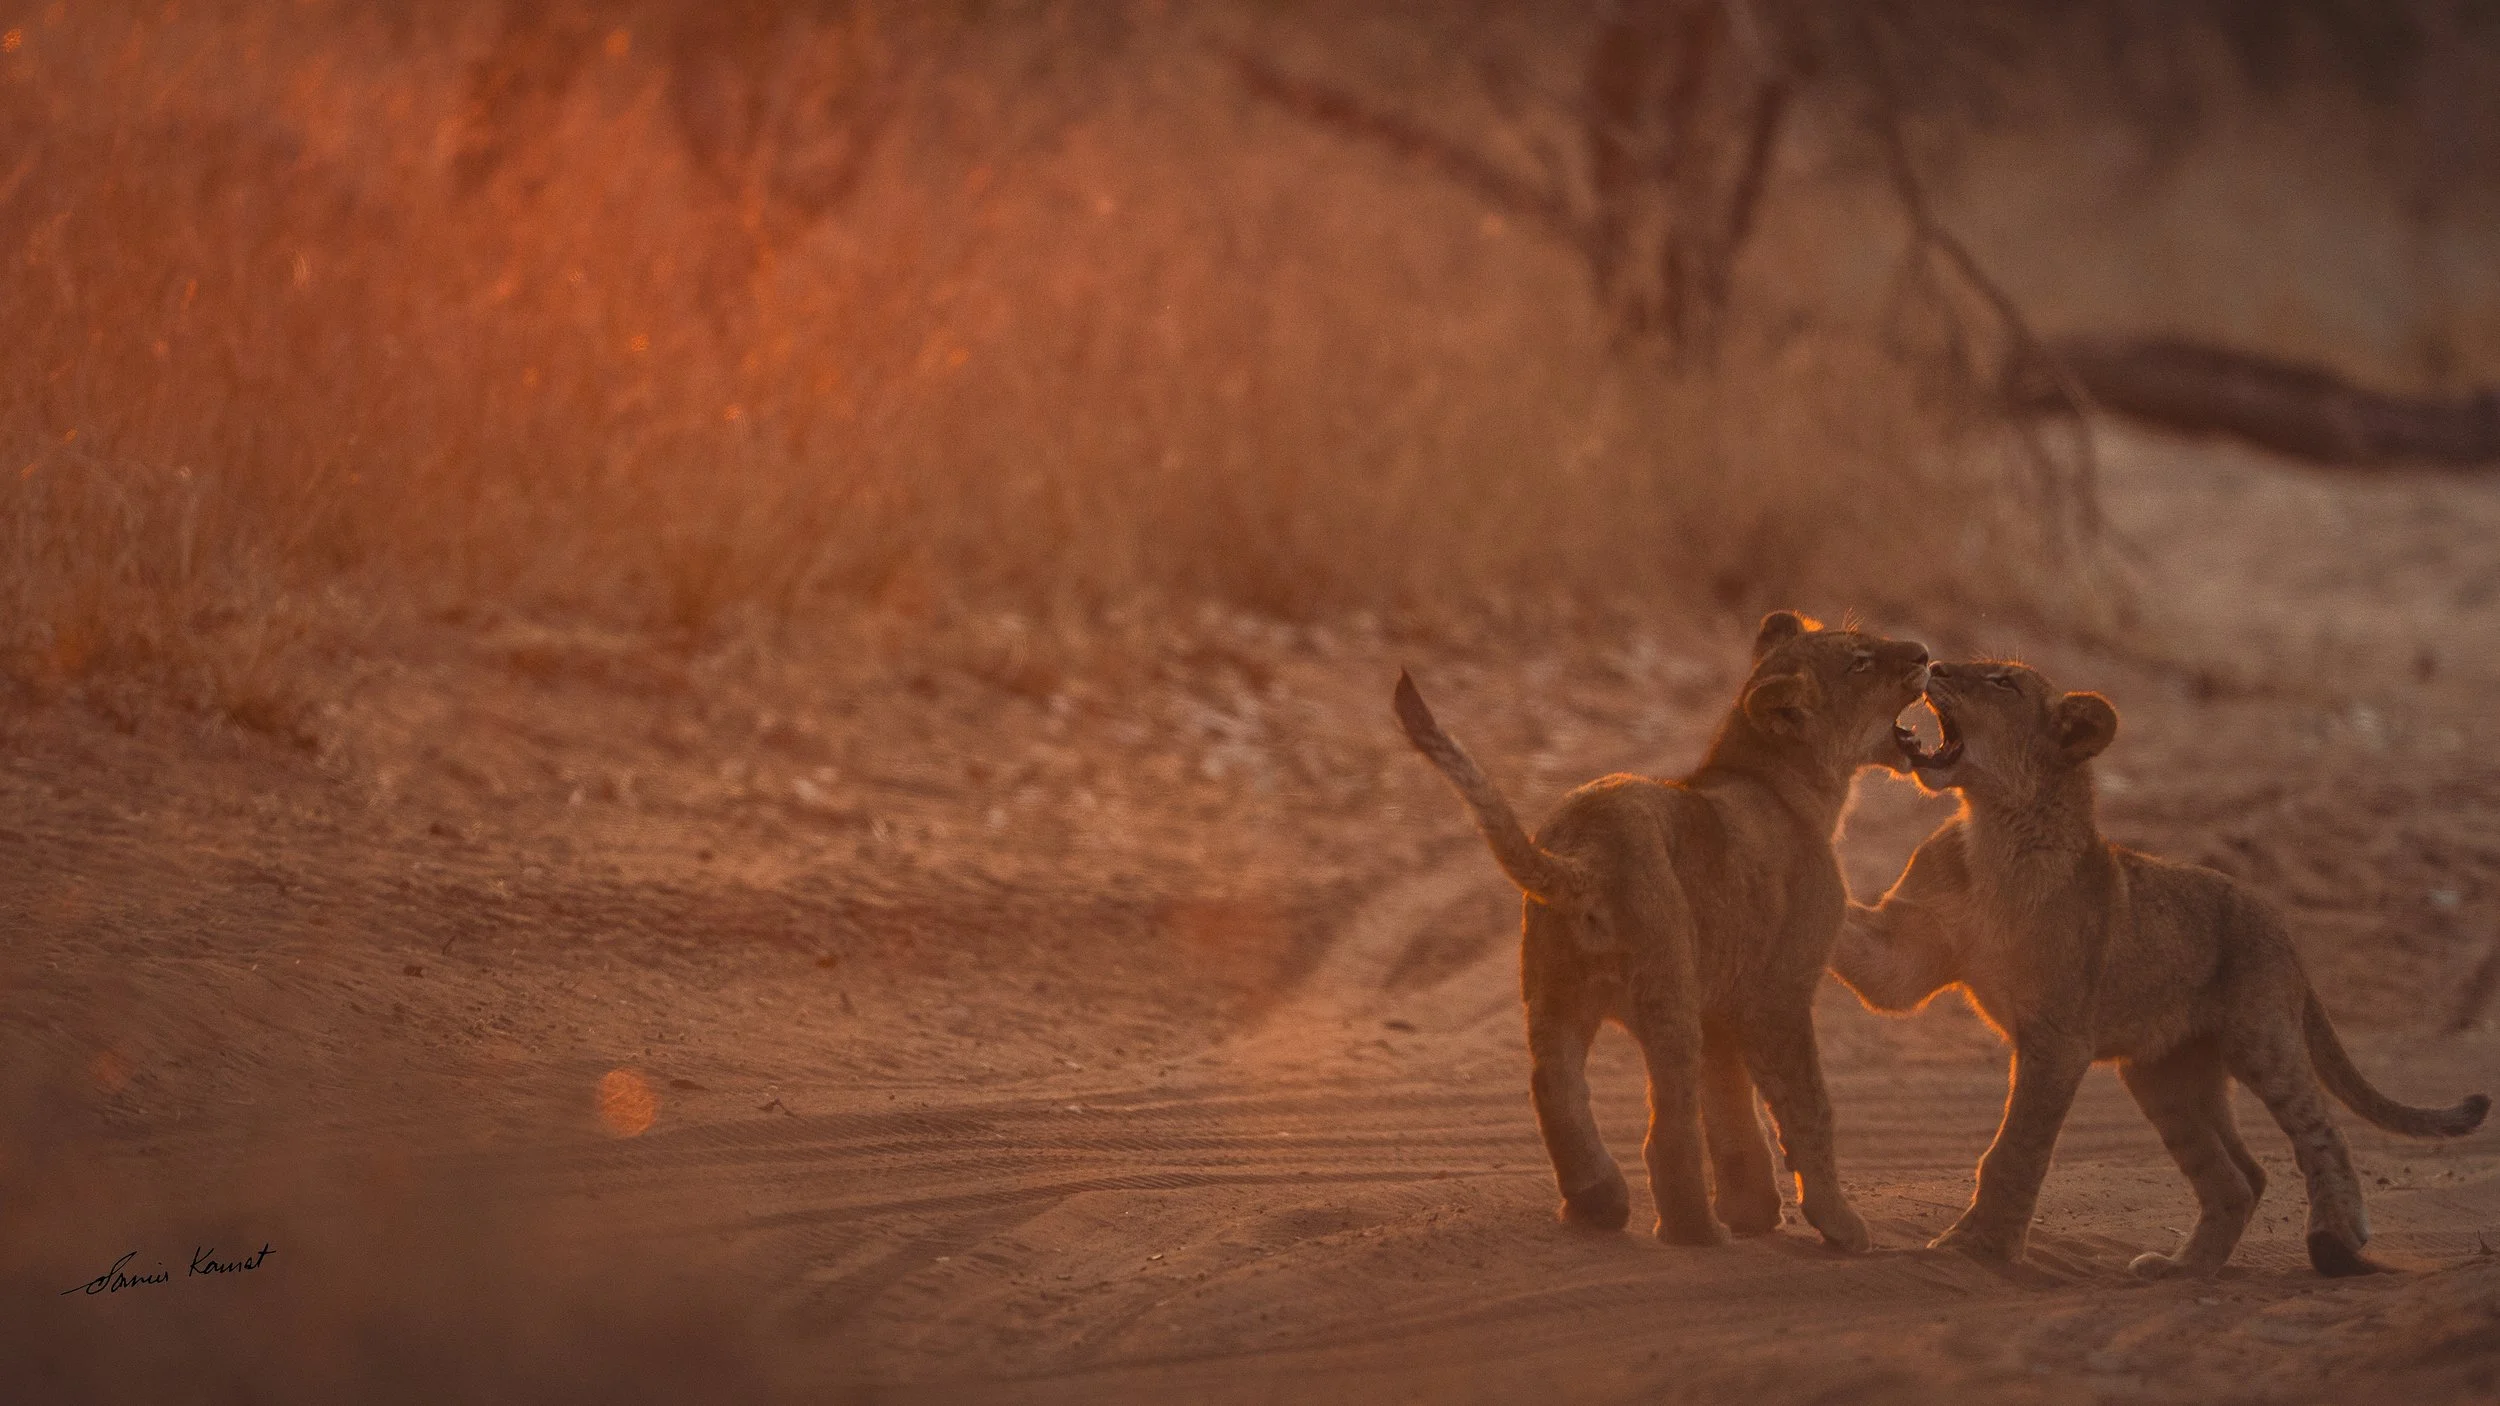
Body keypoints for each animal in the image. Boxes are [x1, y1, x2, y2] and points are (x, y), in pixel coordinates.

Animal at [1395, 612, 1930, 1248]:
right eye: (1860, 663)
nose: (1924, 653)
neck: (1786, 785)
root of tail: (1586, 853)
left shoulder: (1722, 1002)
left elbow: (1732, 1109)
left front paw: (1754, 1212)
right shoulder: (1776, 995)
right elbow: (1806, 1107)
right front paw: (1840, 1226)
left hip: (1553, 991)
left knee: (1555, 1086)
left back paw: (1597, 1203)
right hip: (1667, 985)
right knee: (1667, 1125)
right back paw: (1692, 1229)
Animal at [1834, 659, 2490, 1277]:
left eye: (2003, 683)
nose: (1938, 666)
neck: (1993, 828)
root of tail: (2280, 924)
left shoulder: (2058, 1037)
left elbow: (2018, 1147)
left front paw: (1981, 1246)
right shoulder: (1908, 952)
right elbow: (1871, 959)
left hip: (2259, 1037)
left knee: (2320, 1129)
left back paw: (2337, 1242)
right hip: (2165, 1073)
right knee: (2239, 1177)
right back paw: (2181, 1269)